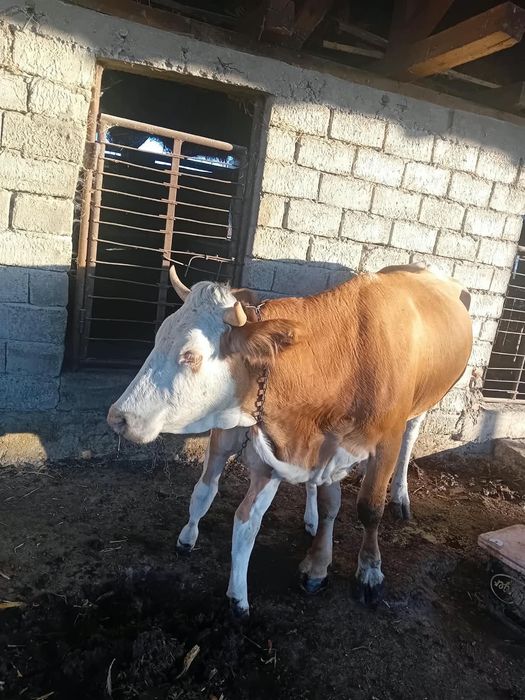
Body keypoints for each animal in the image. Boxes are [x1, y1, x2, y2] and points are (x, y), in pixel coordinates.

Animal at [107, 262, 472, 617]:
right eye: (158, 338)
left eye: (190, 355)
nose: (118, 416)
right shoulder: (317, 446)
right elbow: (326, 505)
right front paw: (317, 566)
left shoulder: (383, 444)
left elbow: (369, 508)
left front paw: (369, 572)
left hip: (425, 404)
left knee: (411, 437)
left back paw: (400, 496)